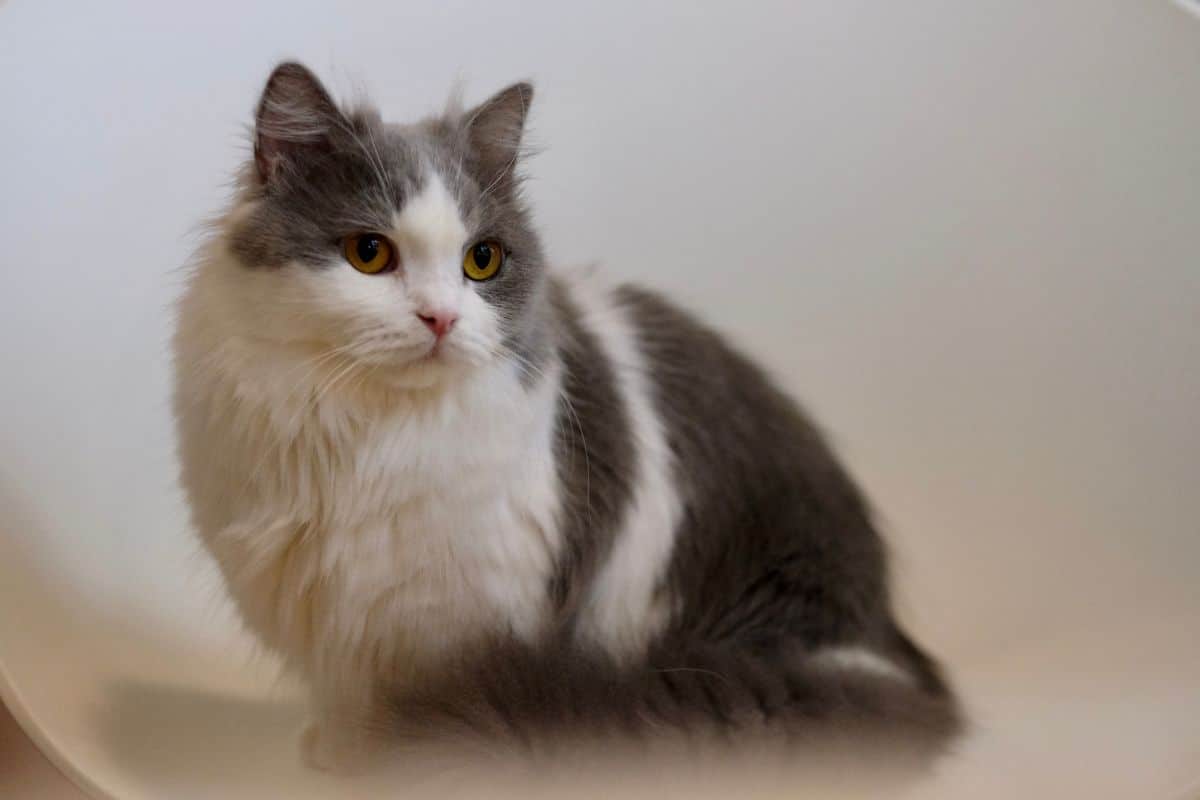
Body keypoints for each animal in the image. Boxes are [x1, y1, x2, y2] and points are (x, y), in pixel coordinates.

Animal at [169, 59, 960, 772]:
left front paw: (388, 763)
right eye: (369, 253)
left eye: (482, 261)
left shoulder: (472, 610)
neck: (367, 440)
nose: (441, 318)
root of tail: (885, 645)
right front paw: (338, 753)